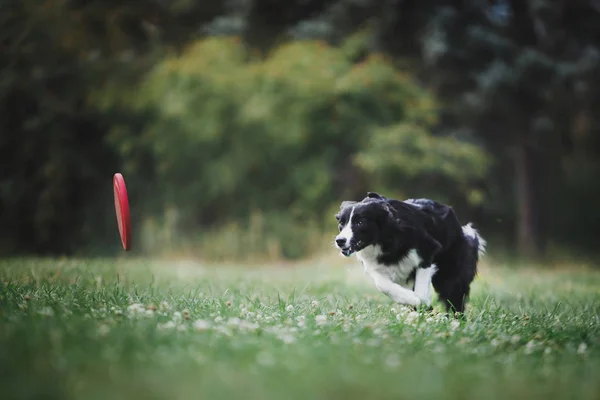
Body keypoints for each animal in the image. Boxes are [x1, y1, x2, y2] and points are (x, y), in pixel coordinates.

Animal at [336, 192, 486, 314]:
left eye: (360, 222)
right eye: (341, 223)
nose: (340, 241)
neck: (384, 238)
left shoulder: (427, 251)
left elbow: (421, 290)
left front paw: (419, 301)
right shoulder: (374, 265)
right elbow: (383, 285)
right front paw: (411, 300)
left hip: (450, 271)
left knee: (454, 297)